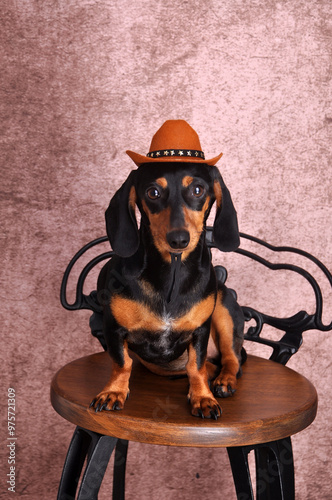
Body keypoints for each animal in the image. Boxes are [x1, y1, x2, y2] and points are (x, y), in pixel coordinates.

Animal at [90, 121, 244, 418]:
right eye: (153, 192)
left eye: (197, 190)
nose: (179, 240)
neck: (171, 273)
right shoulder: (113, 328)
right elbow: (122, 363)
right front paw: (114, 391)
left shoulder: (200, 330)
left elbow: (195, 365)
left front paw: (203, 397)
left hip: (225, 310)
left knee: (232, 358)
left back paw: (224, 381)